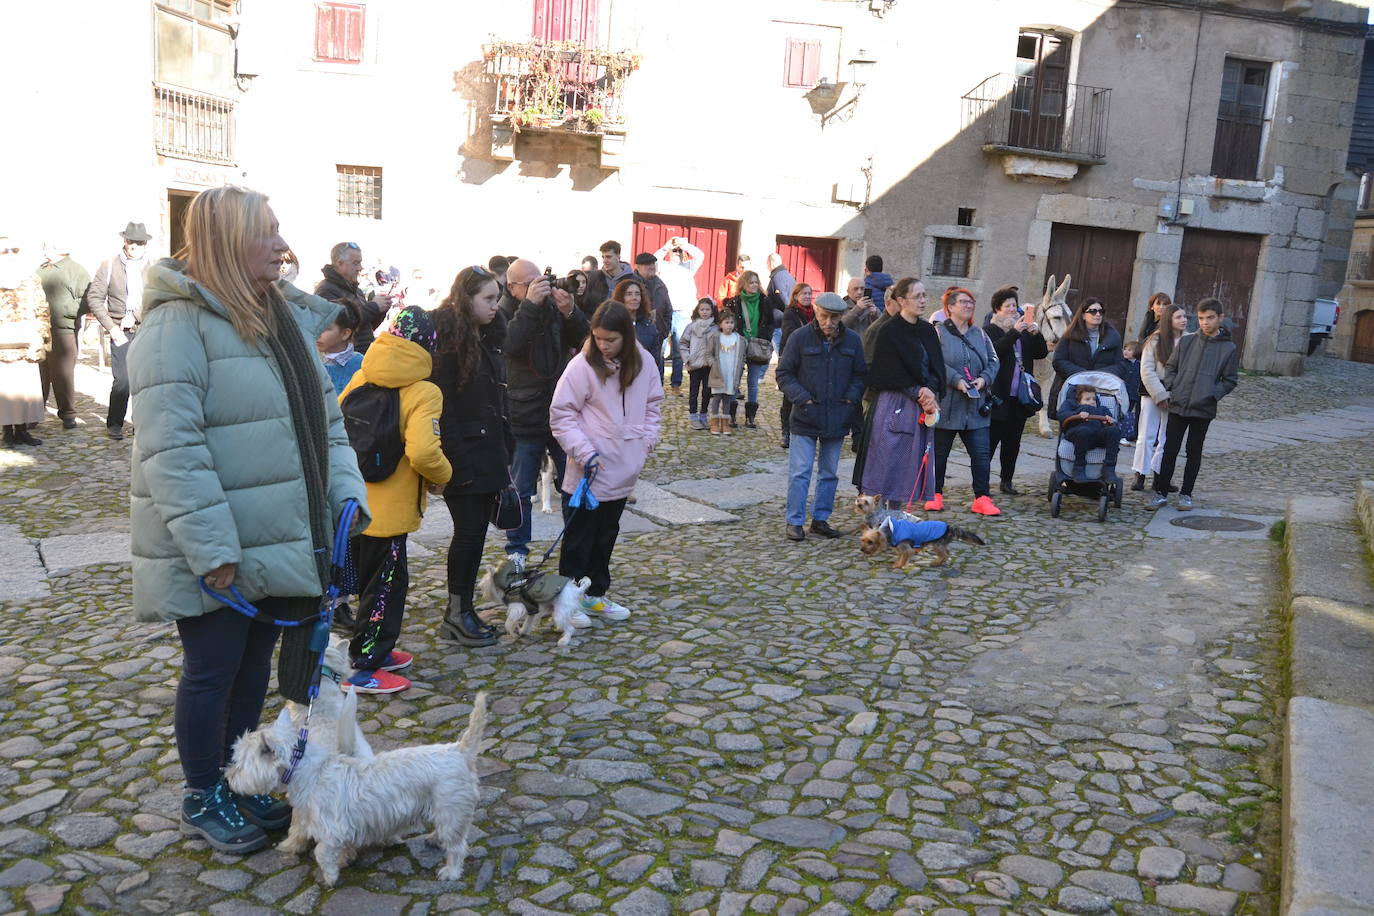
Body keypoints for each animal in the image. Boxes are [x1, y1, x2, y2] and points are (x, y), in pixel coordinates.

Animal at [222, 686, 486, 889]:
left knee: (457, 846)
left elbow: (321, 851)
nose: (227, 777)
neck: (305, 770)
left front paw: (329, 877)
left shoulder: (332, 827)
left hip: (450, 807)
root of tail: (459, 750)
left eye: (239, 763)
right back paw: (433, 838)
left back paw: (450, 871)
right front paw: (340, 860)